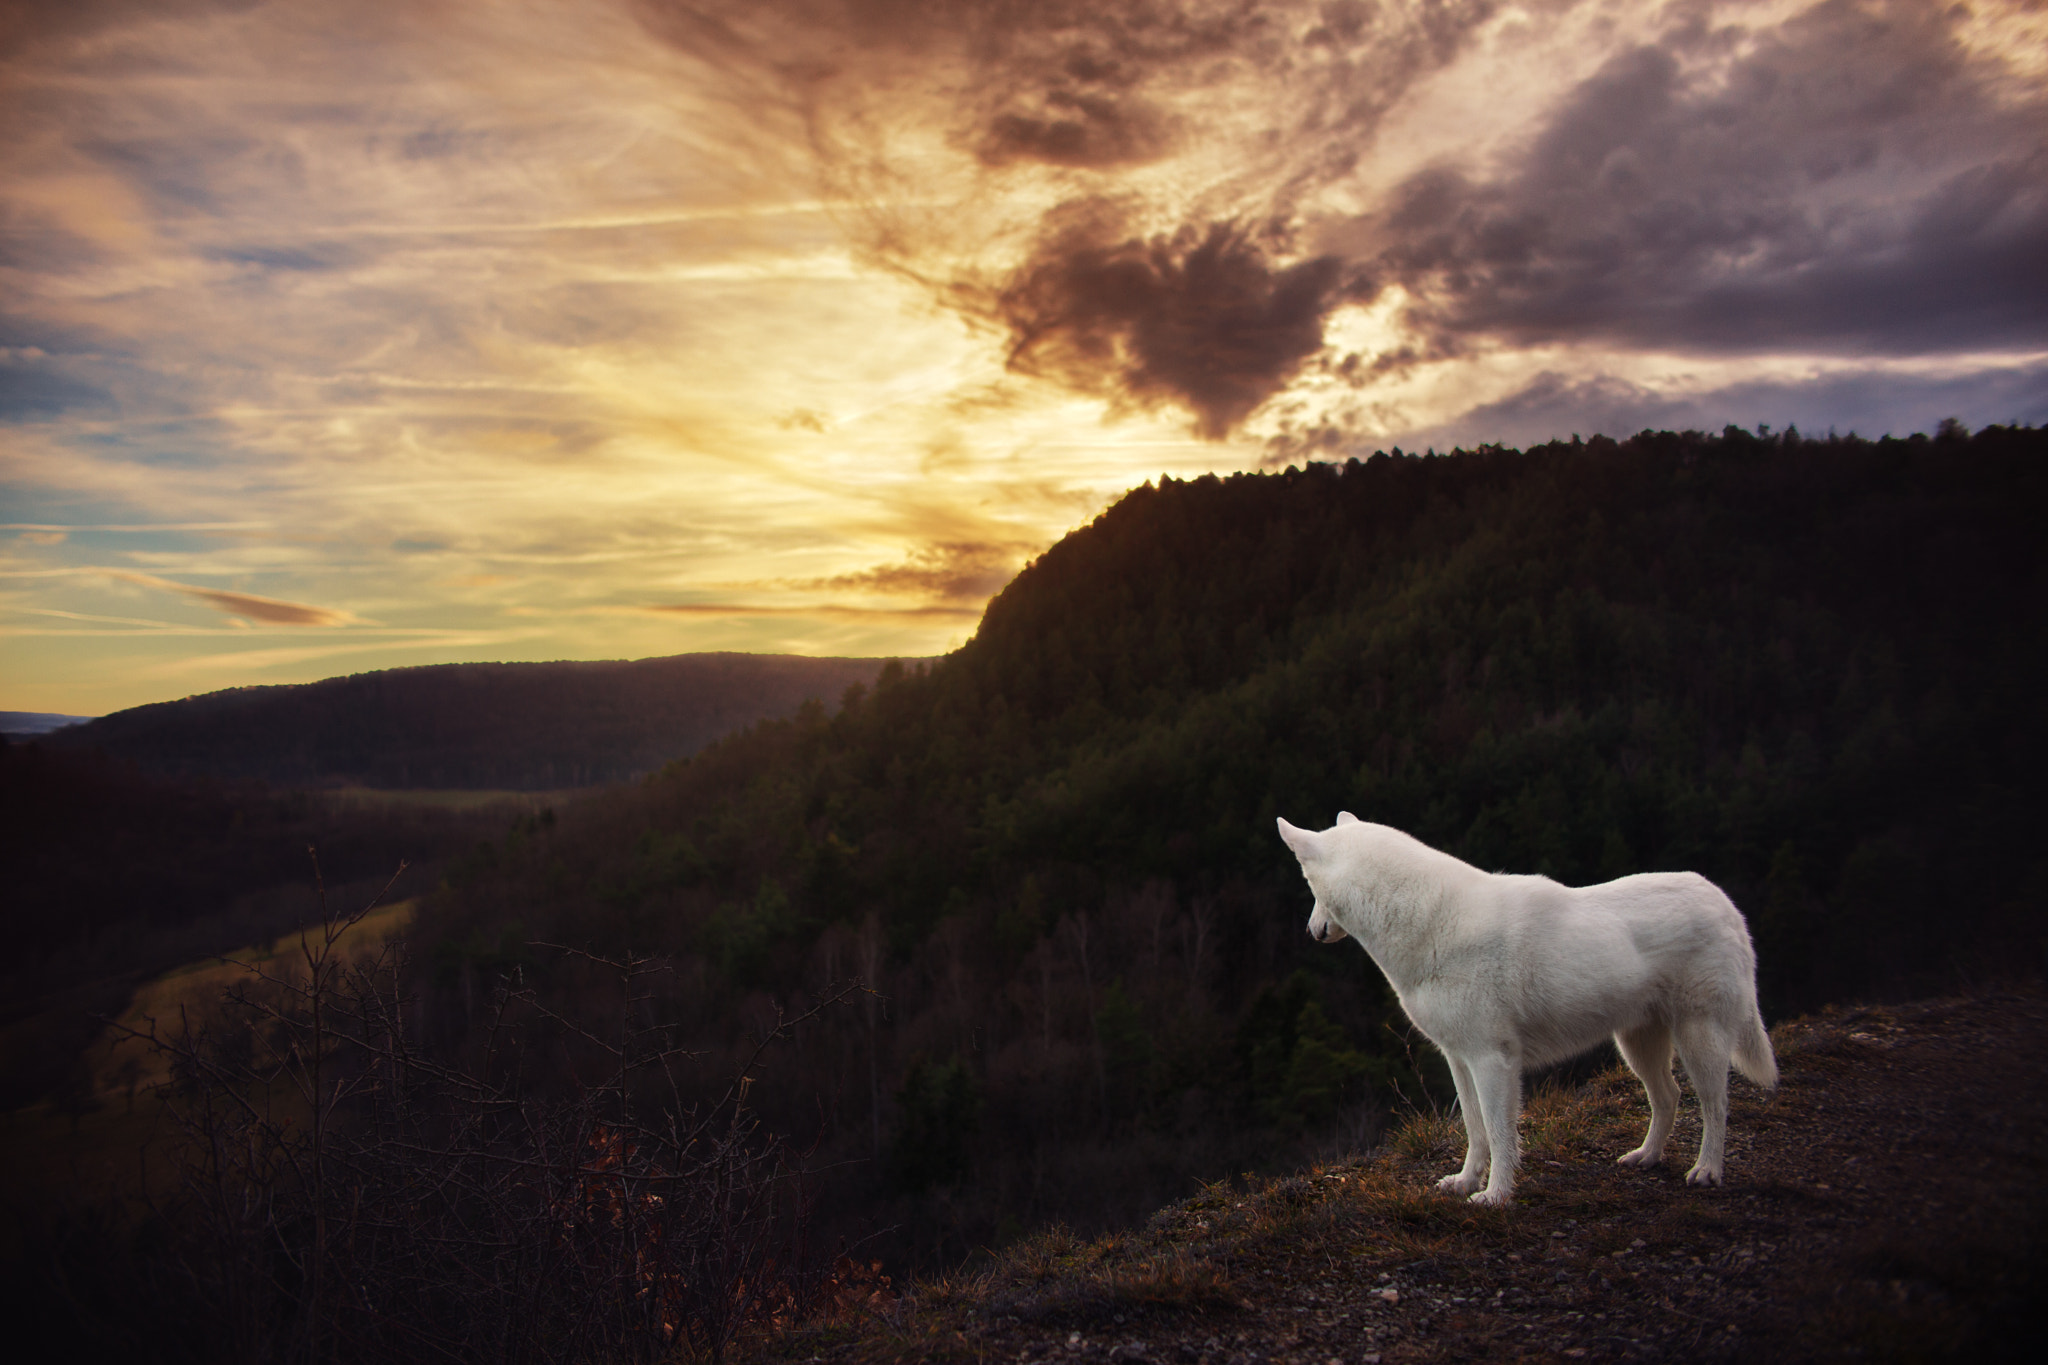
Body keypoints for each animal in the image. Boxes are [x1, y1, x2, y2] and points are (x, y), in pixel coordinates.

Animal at [1277, 813, 1776, 1205]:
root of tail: (1725, 901)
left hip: (1698, 1040)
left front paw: (1495, 1197)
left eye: (1306, 882)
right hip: (1636, 1045)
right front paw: (1465, 1183)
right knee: (1668, 1097)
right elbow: (1475, 1131)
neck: (1429, 923)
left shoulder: (1493, 1061)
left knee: (1715, 1105)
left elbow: (1501, 1135)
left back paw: (1707, 1171)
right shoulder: (1460, 1059)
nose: (1312, 930)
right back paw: (1646, 1158)